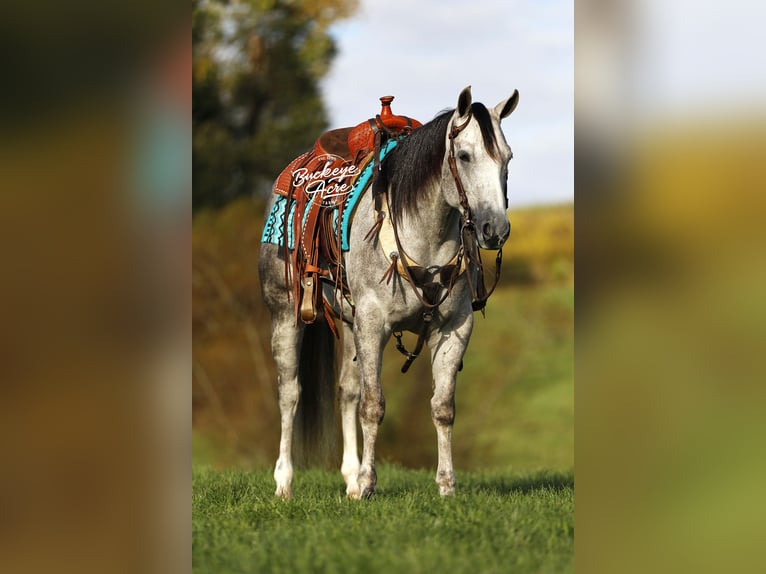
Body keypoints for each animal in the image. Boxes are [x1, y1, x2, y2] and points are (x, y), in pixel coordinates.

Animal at [259, 86, 519, 498]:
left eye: (507, 157)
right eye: (464, 155)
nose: (496, 229)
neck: (424, 239)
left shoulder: (454, 329)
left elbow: (443, 407)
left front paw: (446, 486)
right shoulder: (373, 325)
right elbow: (373, 405)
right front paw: (368, 483)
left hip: (350, 324)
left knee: (347, 390)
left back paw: (348, 479)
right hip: (286, 315)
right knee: (290, 393)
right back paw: (284, 482)